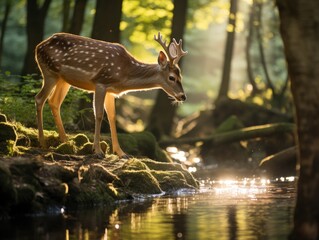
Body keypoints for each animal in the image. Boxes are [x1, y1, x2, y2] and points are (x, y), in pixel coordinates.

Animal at [35, 32, 188, 159]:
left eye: (181, 75)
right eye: (172, 77)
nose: (183, 96)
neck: (124, 75)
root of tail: (38, 47)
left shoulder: (111, 91)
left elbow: (112, 117)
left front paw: (122, 153)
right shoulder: (101, 82)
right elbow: (99, 114)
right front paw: (97, 151)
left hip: (63, 79)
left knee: (54, 101)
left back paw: (66, 141)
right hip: (49, 71)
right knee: (39, 98)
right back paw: (43, 142)